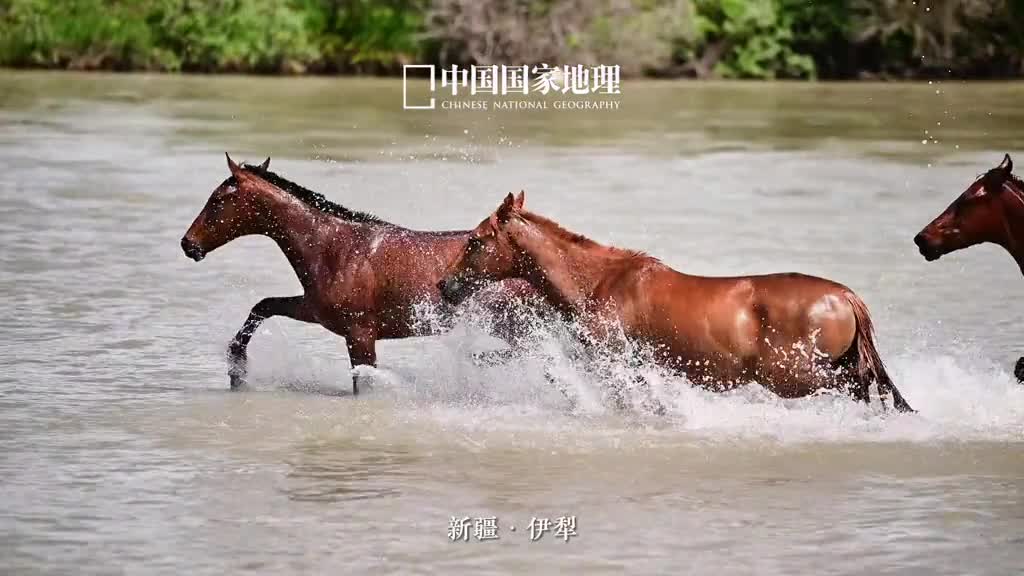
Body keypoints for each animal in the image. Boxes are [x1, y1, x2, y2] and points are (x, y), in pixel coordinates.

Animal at [181, 154, 541, 394]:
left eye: (216, 200)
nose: (188, 244)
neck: (336, 249)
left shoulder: (360, 335)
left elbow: (362, 383)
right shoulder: (314, 311)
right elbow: (263, 306)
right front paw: (236, 367)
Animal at [438, 192, 914, 412]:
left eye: (476, 241)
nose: (445, 286)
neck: (597, 283)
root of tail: (847, 297)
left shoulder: (616, 360)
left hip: (794, 376)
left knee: (860, 387)